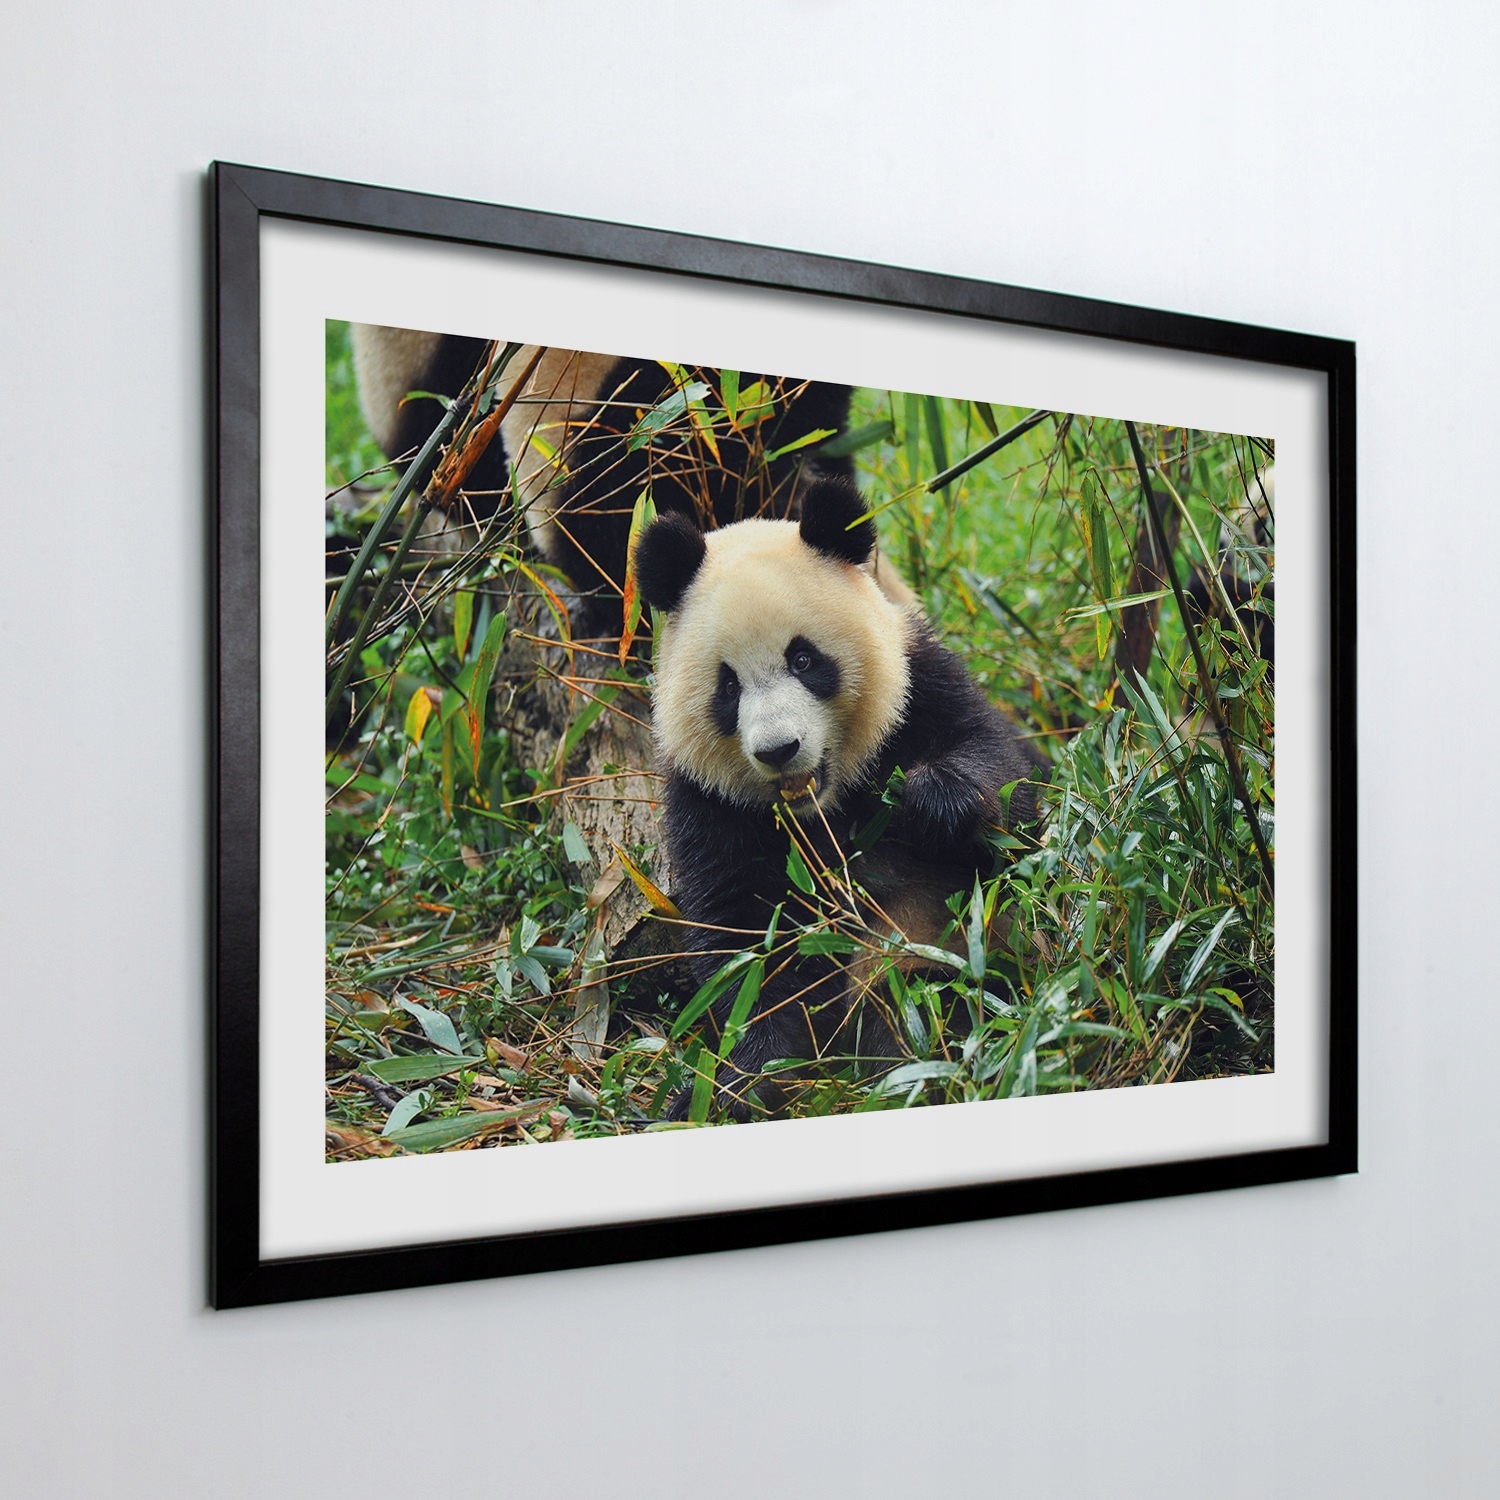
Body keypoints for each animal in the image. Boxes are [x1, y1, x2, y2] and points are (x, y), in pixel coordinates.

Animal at [634, 477, 1048, 1117]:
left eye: (804, 659)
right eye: (727, 686)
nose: (779, 749)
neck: (824, 810)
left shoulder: (921, 686)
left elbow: (1005, 786)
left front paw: (935, 799)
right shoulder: (709, 802)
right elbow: (745, 943)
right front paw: (734, 1089)